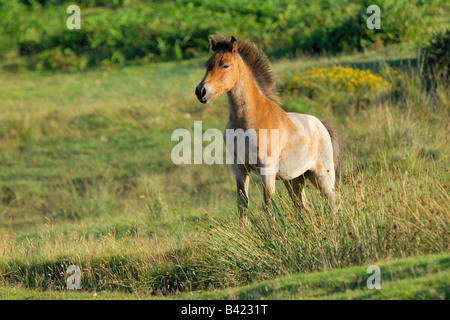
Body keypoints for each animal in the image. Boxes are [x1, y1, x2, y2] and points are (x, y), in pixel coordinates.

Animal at [195, 35, 342, 224]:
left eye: (225, 65)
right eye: (207, 64)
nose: (201, 91)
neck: (249, 119)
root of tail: (321, 125)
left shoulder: (267, 170)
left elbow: (268, 207)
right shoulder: (239, 168)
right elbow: (242, 205)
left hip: (322, 176)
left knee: (332, 204)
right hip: (294, 181)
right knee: (304, 208)